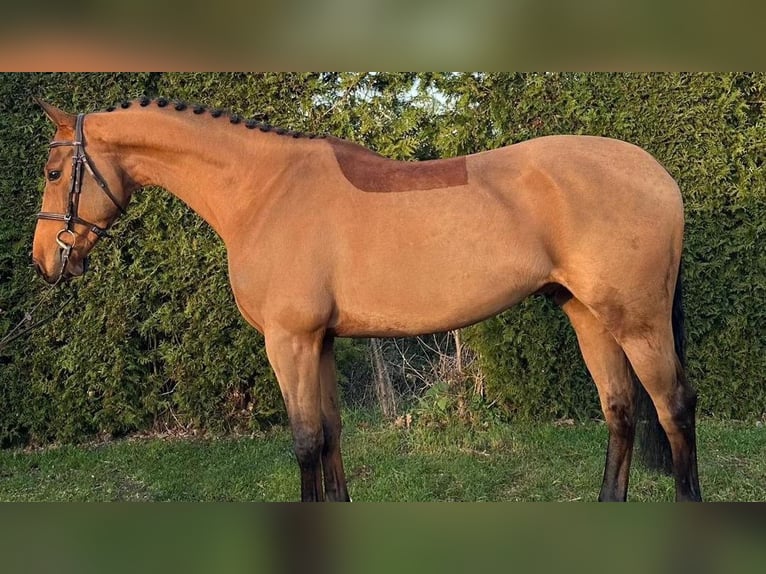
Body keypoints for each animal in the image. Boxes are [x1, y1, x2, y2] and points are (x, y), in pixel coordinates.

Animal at [31, 98, 702, 502]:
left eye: (55, 174)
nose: (45, 261)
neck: (265, 191)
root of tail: (657, 173)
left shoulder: (290, 342)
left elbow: (305, 441)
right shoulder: (321, 342)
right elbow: (330, 434)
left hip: (638, 322)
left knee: (674, 407)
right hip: (588, 314)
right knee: (620, 410)